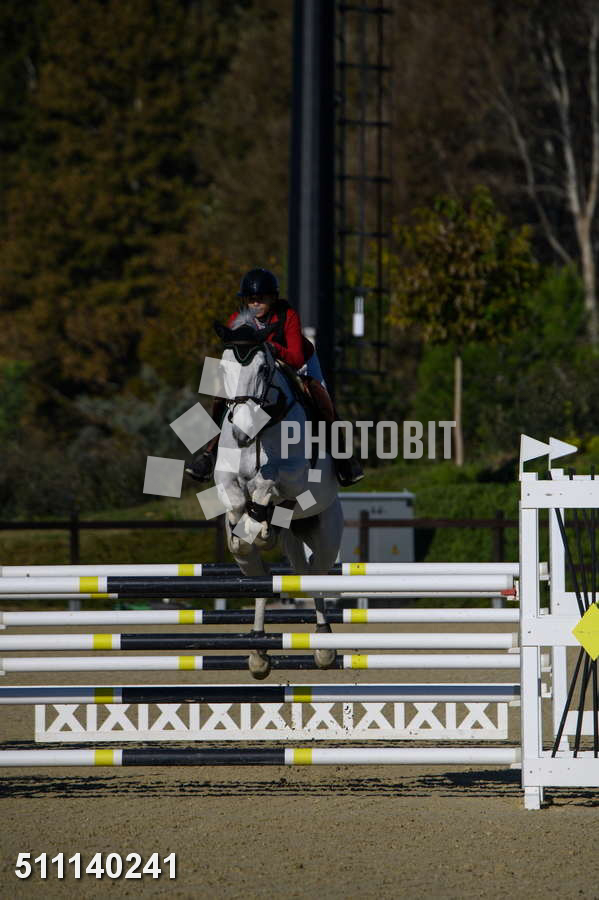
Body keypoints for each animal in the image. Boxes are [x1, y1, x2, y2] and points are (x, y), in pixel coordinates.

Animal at [212, 311, 343, 679]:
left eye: (262, 370)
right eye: (223, 369)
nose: (242, 434)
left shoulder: (296, 478)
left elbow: (267, 485)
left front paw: (259, 522)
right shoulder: (224, 477)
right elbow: (237, 500)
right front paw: (247, 527)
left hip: (325, 535)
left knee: (314, 579)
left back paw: (324, 647)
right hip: (271, 552)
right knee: (261, 582)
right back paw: (258, 652)